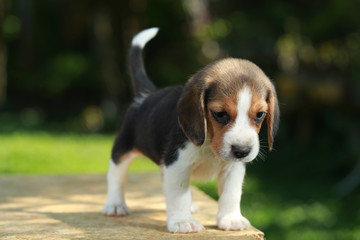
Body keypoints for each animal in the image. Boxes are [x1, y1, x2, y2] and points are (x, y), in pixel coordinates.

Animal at [102, 27, 280, 232]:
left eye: (260, 114)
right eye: (220, 114)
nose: (242, 151)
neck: (210, 145)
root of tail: (146, 94)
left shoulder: (233, 169)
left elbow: (231, 194)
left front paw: (231, 219)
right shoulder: (176, 165)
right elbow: (179, 195)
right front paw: (182, 221)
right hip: (122, 147)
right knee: (116, 175)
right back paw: (115, 204)